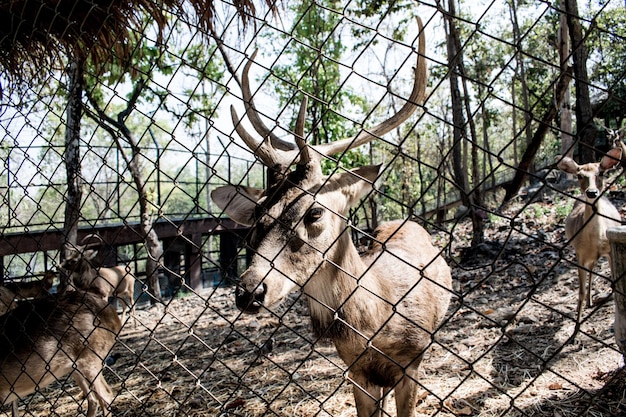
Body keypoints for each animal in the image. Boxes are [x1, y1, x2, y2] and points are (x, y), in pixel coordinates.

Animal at [212, 18, 450, 416]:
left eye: (315, 211)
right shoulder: (355, 371)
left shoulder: (412, 360)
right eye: (258, 215)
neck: (377, 322)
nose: (249, 291)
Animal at [556, 148, 620, 336]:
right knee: (591, 270)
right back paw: (589, 302)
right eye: (579, 175)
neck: (594, 239)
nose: (592, 192)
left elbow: (614, 284)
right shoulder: (580, 254)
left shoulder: (609, 250)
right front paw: (575, 332)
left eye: (601, 173)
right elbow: (581, 292)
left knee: (593, 269)